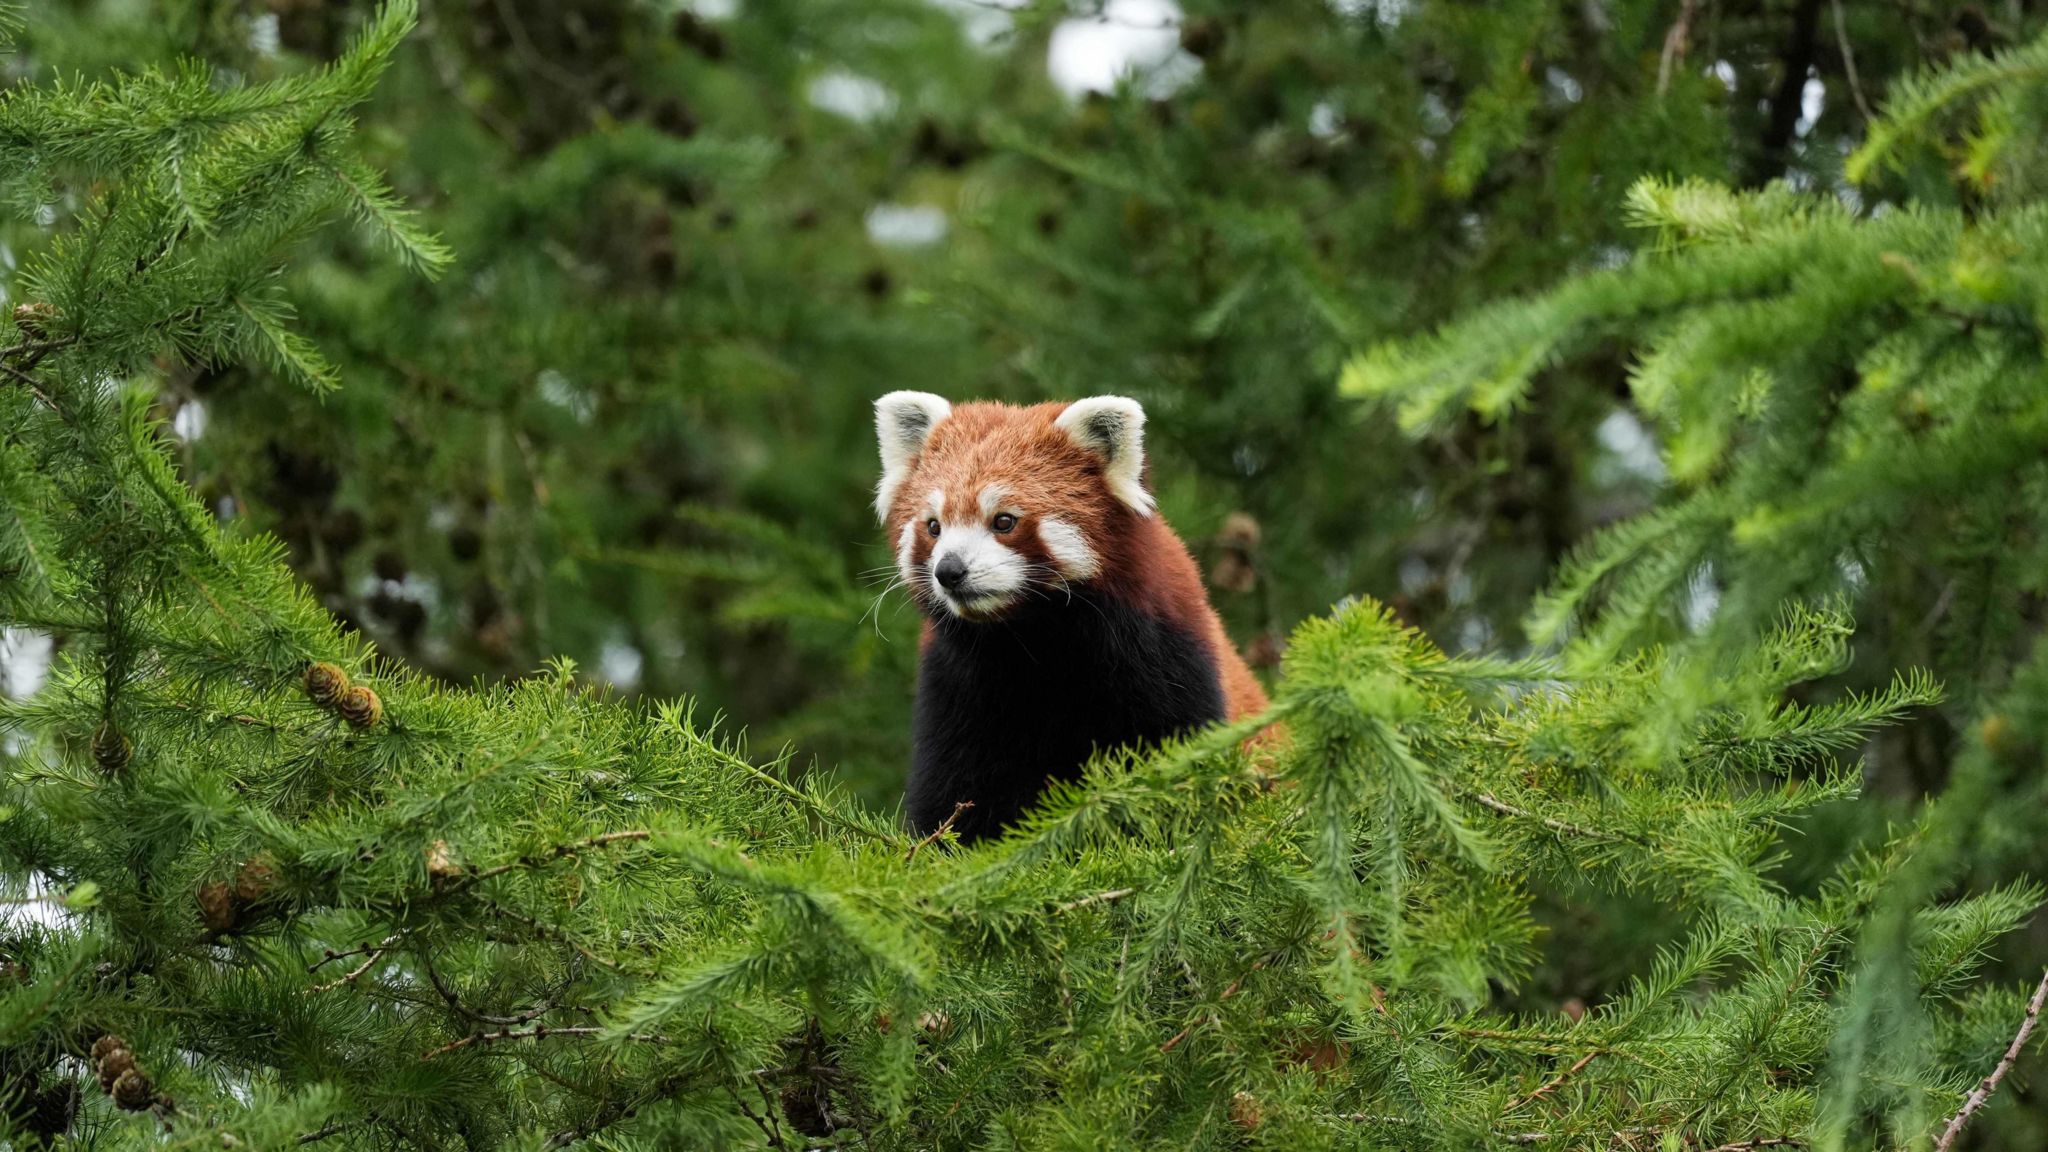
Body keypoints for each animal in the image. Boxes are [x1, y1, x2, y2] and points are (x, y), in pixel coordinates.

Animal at [876, 389, 1269, 840]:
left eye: (1004, 521)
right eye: (934, 527)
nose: (949, 571)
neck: (1031, 643)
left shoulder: (1168, 661)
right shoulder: (955, 688)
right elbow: (953, 794)